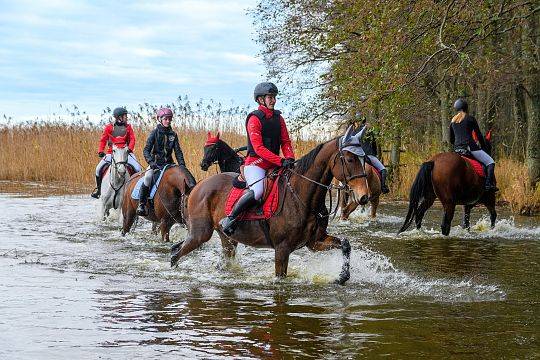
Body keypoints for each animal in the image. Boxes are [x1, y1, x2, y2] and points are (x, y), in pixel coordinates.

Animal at [172, 128, 368, 286]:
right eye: (349, 159)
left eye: (363, 158)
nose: (364, 196)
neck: (302, 196)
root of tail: (198, 186)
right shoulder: (282, 249)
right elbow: (281, 277)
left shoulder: (314, 242)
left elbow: (345, 245)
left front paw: (342, 277)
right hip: (201, 234)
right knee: (176, 253)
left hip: (228, 239)